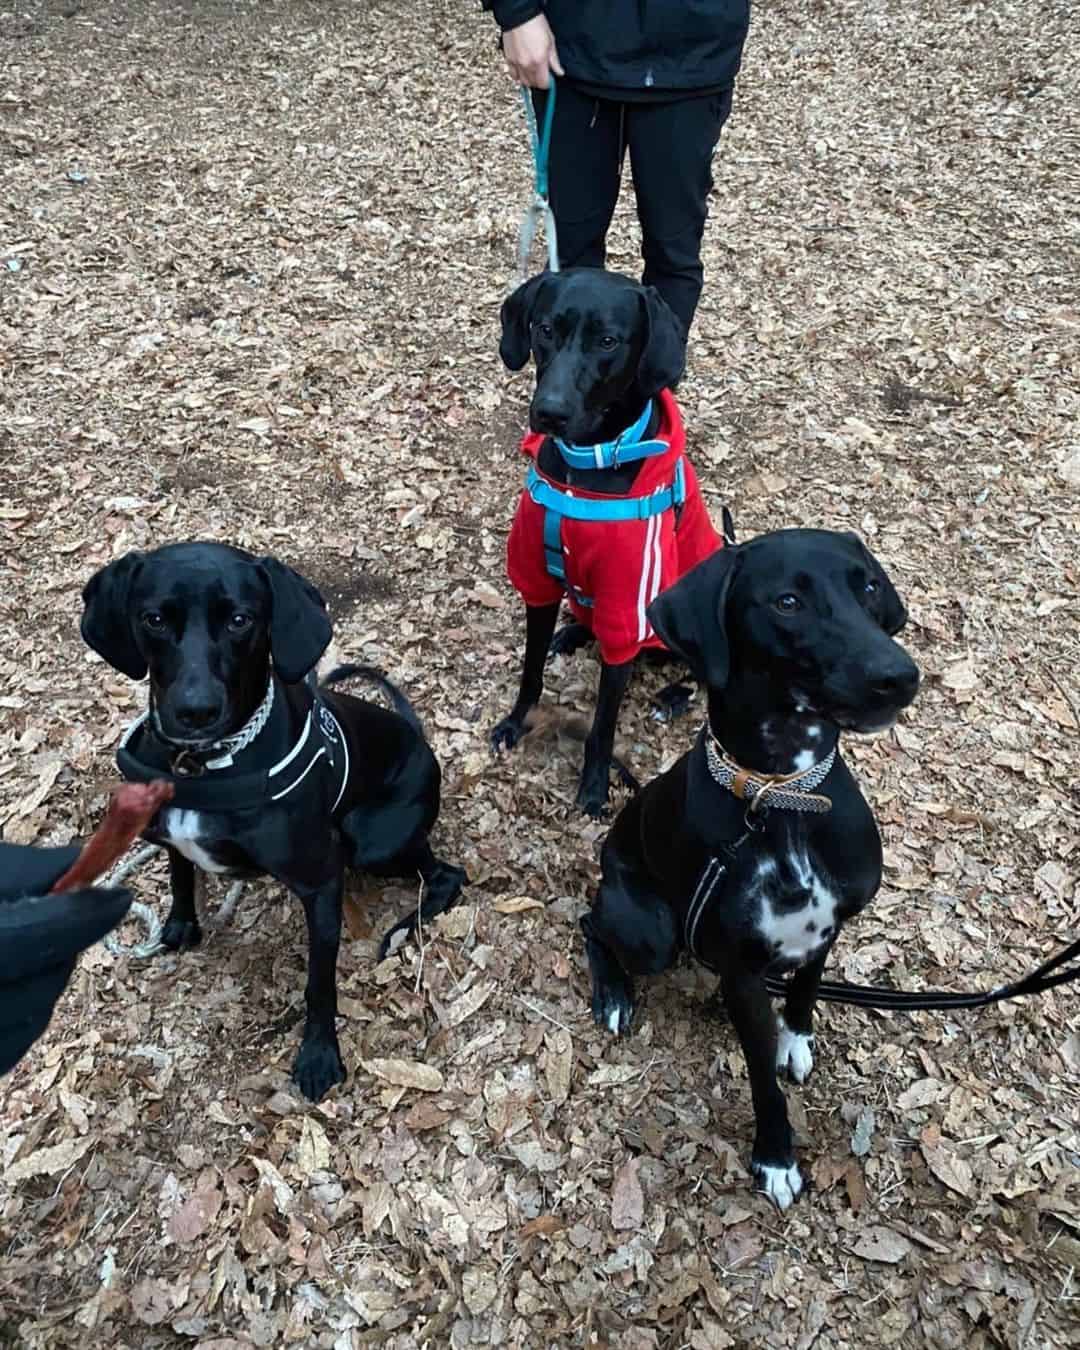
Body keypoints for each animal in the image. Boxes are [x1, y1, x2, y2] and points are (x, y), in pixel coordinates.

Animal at [77, 542, 461, 1101]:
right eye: (154, 619)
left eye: (240, 620)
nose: (195, 712)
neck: (205, 764)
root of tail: (417, 735)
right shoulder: (171, 836)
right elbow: (180, 873)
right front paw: (180, 926)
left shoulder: (321, 884)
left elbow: (319, 985)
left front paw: (319, 1056)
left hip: (373, 842)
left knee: (448, 877)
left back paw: (399, 931)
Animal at [491, 263, 723, 810]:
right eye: (544, 328)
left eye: (608, 341)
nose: (549, 411)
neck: (586, 471)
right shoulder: (537, 582)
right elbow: (530, 671)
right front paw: (516, 722)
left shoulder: (626, 611)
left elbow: (603, 722)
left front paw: (594, 786)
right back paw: (574, 631)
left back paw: (674, 695)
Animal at [583, 521, 918, 1209]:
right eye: (787, 602)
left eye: (868, 587)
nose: (899, 676)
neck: (783, 798)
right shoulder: (741, 971)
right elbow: (761, 1077)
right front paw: (775, 1156)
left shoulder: (826, 930)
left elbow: (805, 993)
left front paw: (796, 1039)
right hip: (651, 929)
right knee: (590, 923)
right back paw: (613, 992)